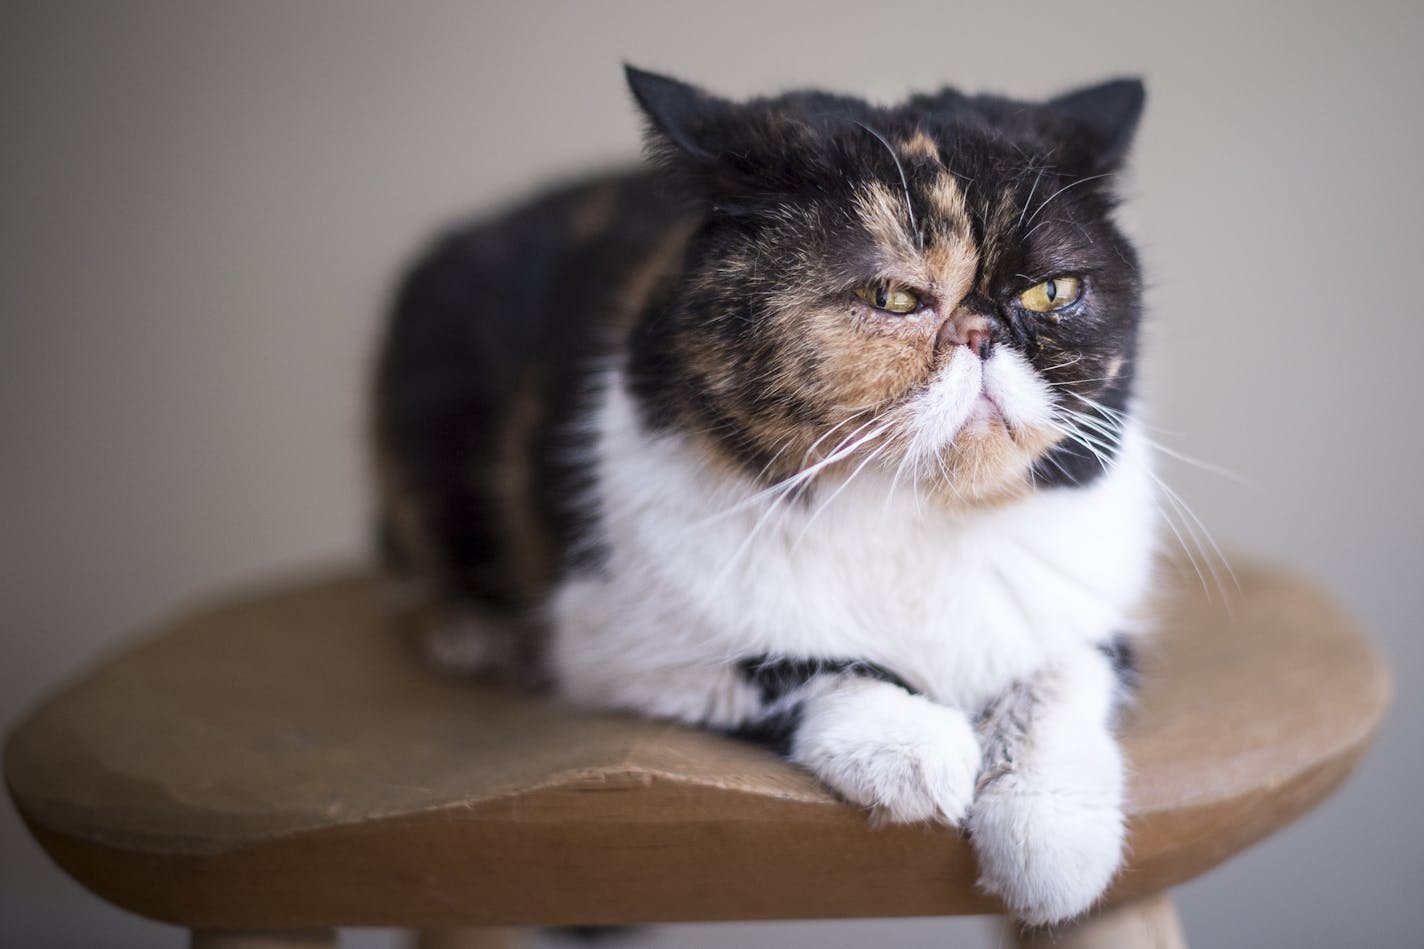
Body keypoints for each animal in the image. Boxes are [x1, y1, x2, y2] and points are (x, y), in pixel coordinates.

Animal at [375, 66, 1156, 923]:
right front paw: (915, 745)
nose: (983, 332)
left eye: (1055, 291)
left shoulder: (1086, 598)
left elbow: (1067, 672)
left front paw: (1052, 839)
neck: (914, 514)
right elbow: (793, 664)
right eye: (891, 296)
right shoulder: (618, 640)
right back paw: (471, 634)